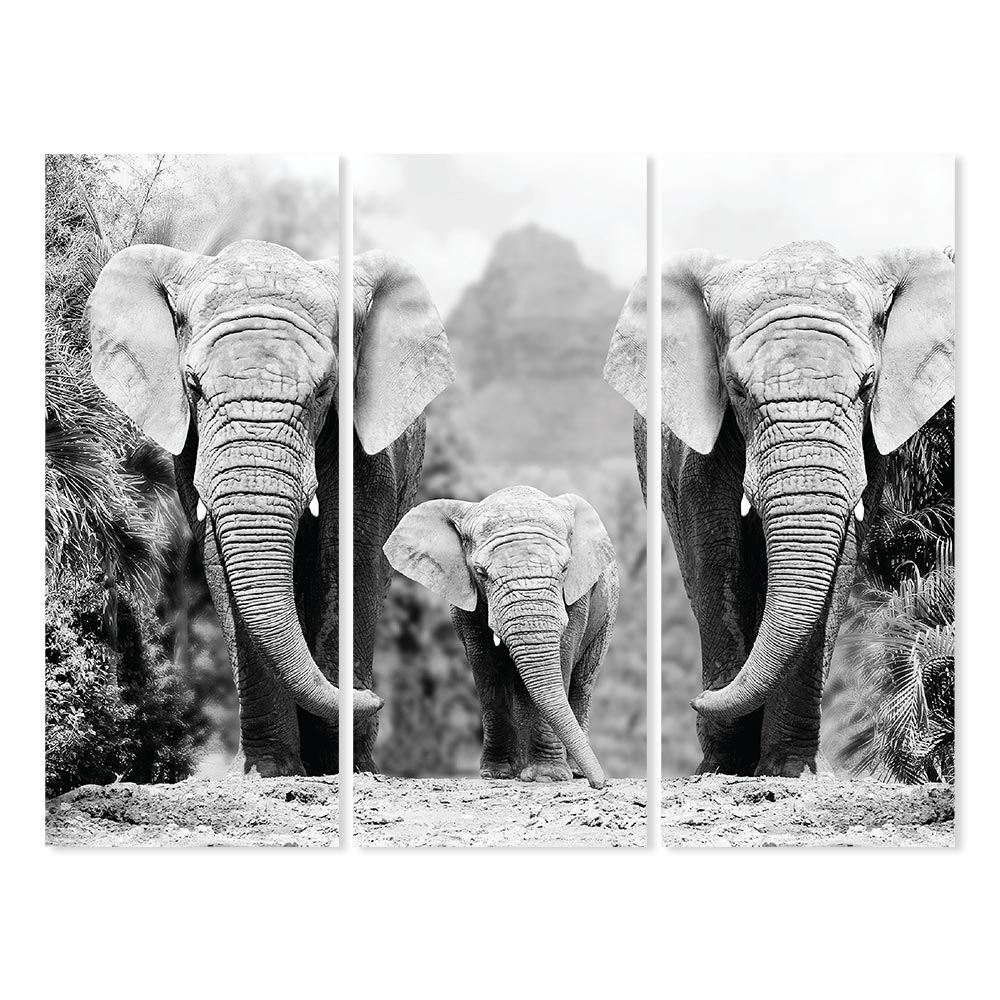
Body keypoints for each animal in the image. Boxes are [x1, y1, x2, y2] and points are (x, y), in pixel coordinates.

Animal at [86, 239, 455, 777]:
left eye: (325, 389)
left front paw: (335, 766)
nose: (373, 698)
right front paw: (272, 771)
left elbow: (347, 561)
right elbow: (220, 564)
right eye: (193, 386)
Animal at [383, 486, 619, 789]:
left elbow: (563, 657)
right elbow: (486, 666)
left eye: (565, 569)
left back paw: (573, 770)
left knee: (582, 681)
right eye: (481, 573)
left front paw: (547, 777)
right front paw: (497, 774)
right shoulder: (466, 597)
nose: (600, 784)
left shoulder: (578, 596)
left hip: (608, 612)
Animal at [604, 240, 954, 777]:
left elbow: (839, 565)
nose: (696, 701)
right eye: (736, 388)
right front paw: (724, 767)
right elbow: (719, 560)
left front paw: (790, 770)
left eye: (867, 386)